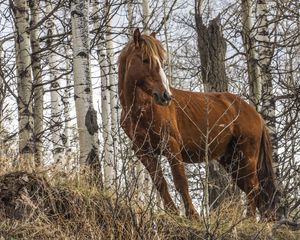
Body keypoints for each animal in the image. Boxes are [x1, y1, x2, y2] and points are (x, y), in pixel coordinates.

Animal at [118, 28, 282, 219]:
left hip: (246, 156)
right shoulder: (143, 152)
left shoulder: (171, 145)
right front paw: (173, 213)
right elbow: (160, 183)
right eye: (145, 59)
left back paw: (248, 220)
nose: (165, 96)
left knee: (253, 187)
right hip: (231, 159)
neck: (141, 109)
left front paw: (192, 215)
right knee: (252, 188)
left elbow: (180, 181)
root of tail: (256, 115)